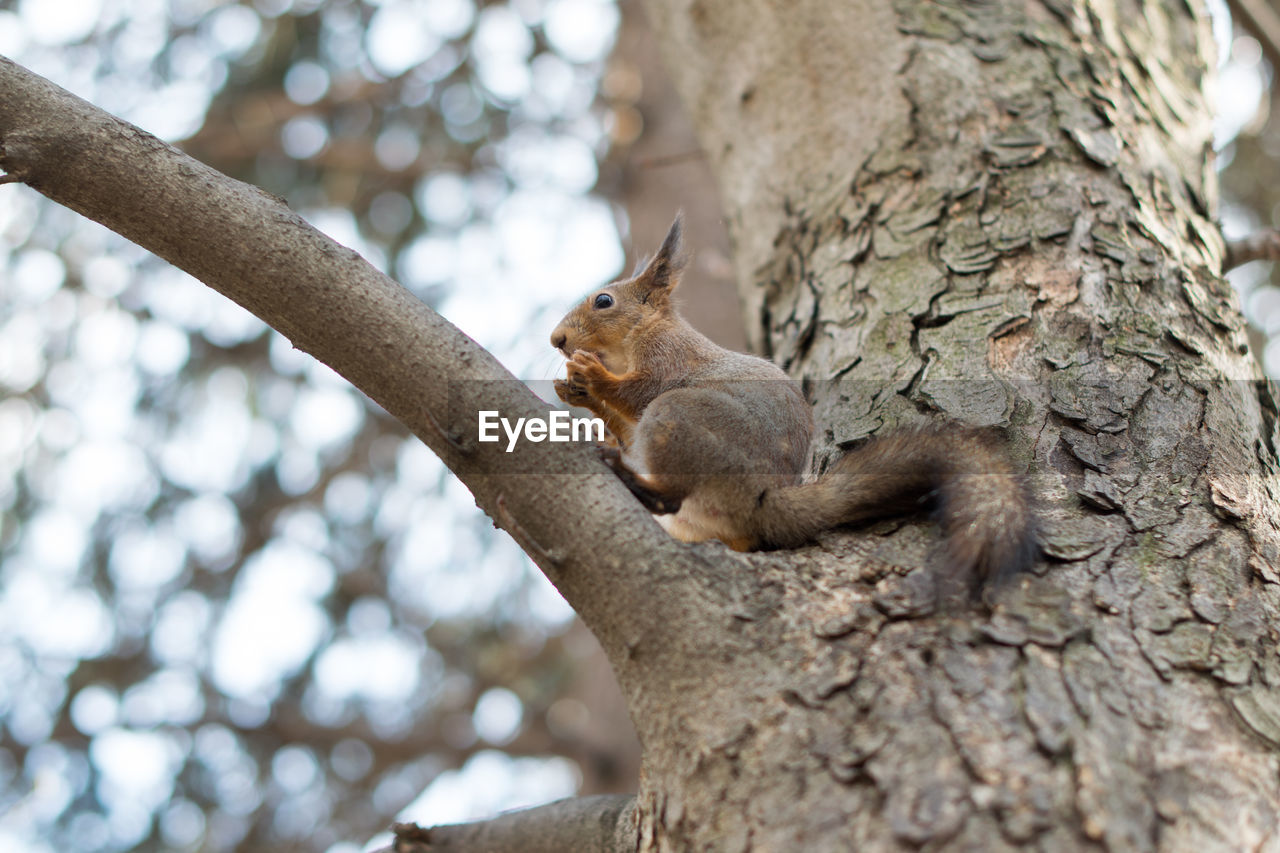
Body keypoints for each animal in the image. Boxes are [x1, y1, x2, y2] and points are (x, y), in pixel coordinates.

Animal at [550, 213, 1039, 584]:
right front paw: (575, 391)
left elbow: (640, 391)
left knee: (669, 492)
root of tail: (762, 501)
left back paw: (631, 476)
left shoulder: (669, 358)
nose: (557, 340)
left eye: (604, 301)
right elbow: (626, 424)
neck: (635, 339)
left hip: (682, 419)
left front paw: (591, 376)